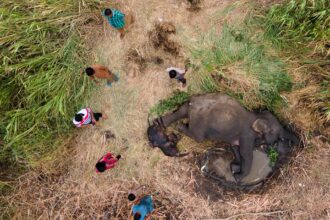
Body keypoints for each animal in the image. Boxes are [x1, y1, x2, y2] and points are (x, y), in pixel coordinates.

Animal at [156, 93, 298, 181]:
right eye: (277, 133)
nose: (297, 141)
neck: (257, 115)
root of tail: (194, 103)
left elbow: (235, 148)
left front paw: (234, 168)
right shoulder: (247, 134)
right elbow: (246, 154)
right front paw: (237, 177)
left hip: (189, 105)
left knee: (180, 111)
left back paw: (161, 122)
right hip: (199, 120)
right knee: (198, 136)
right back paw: (179, 126)